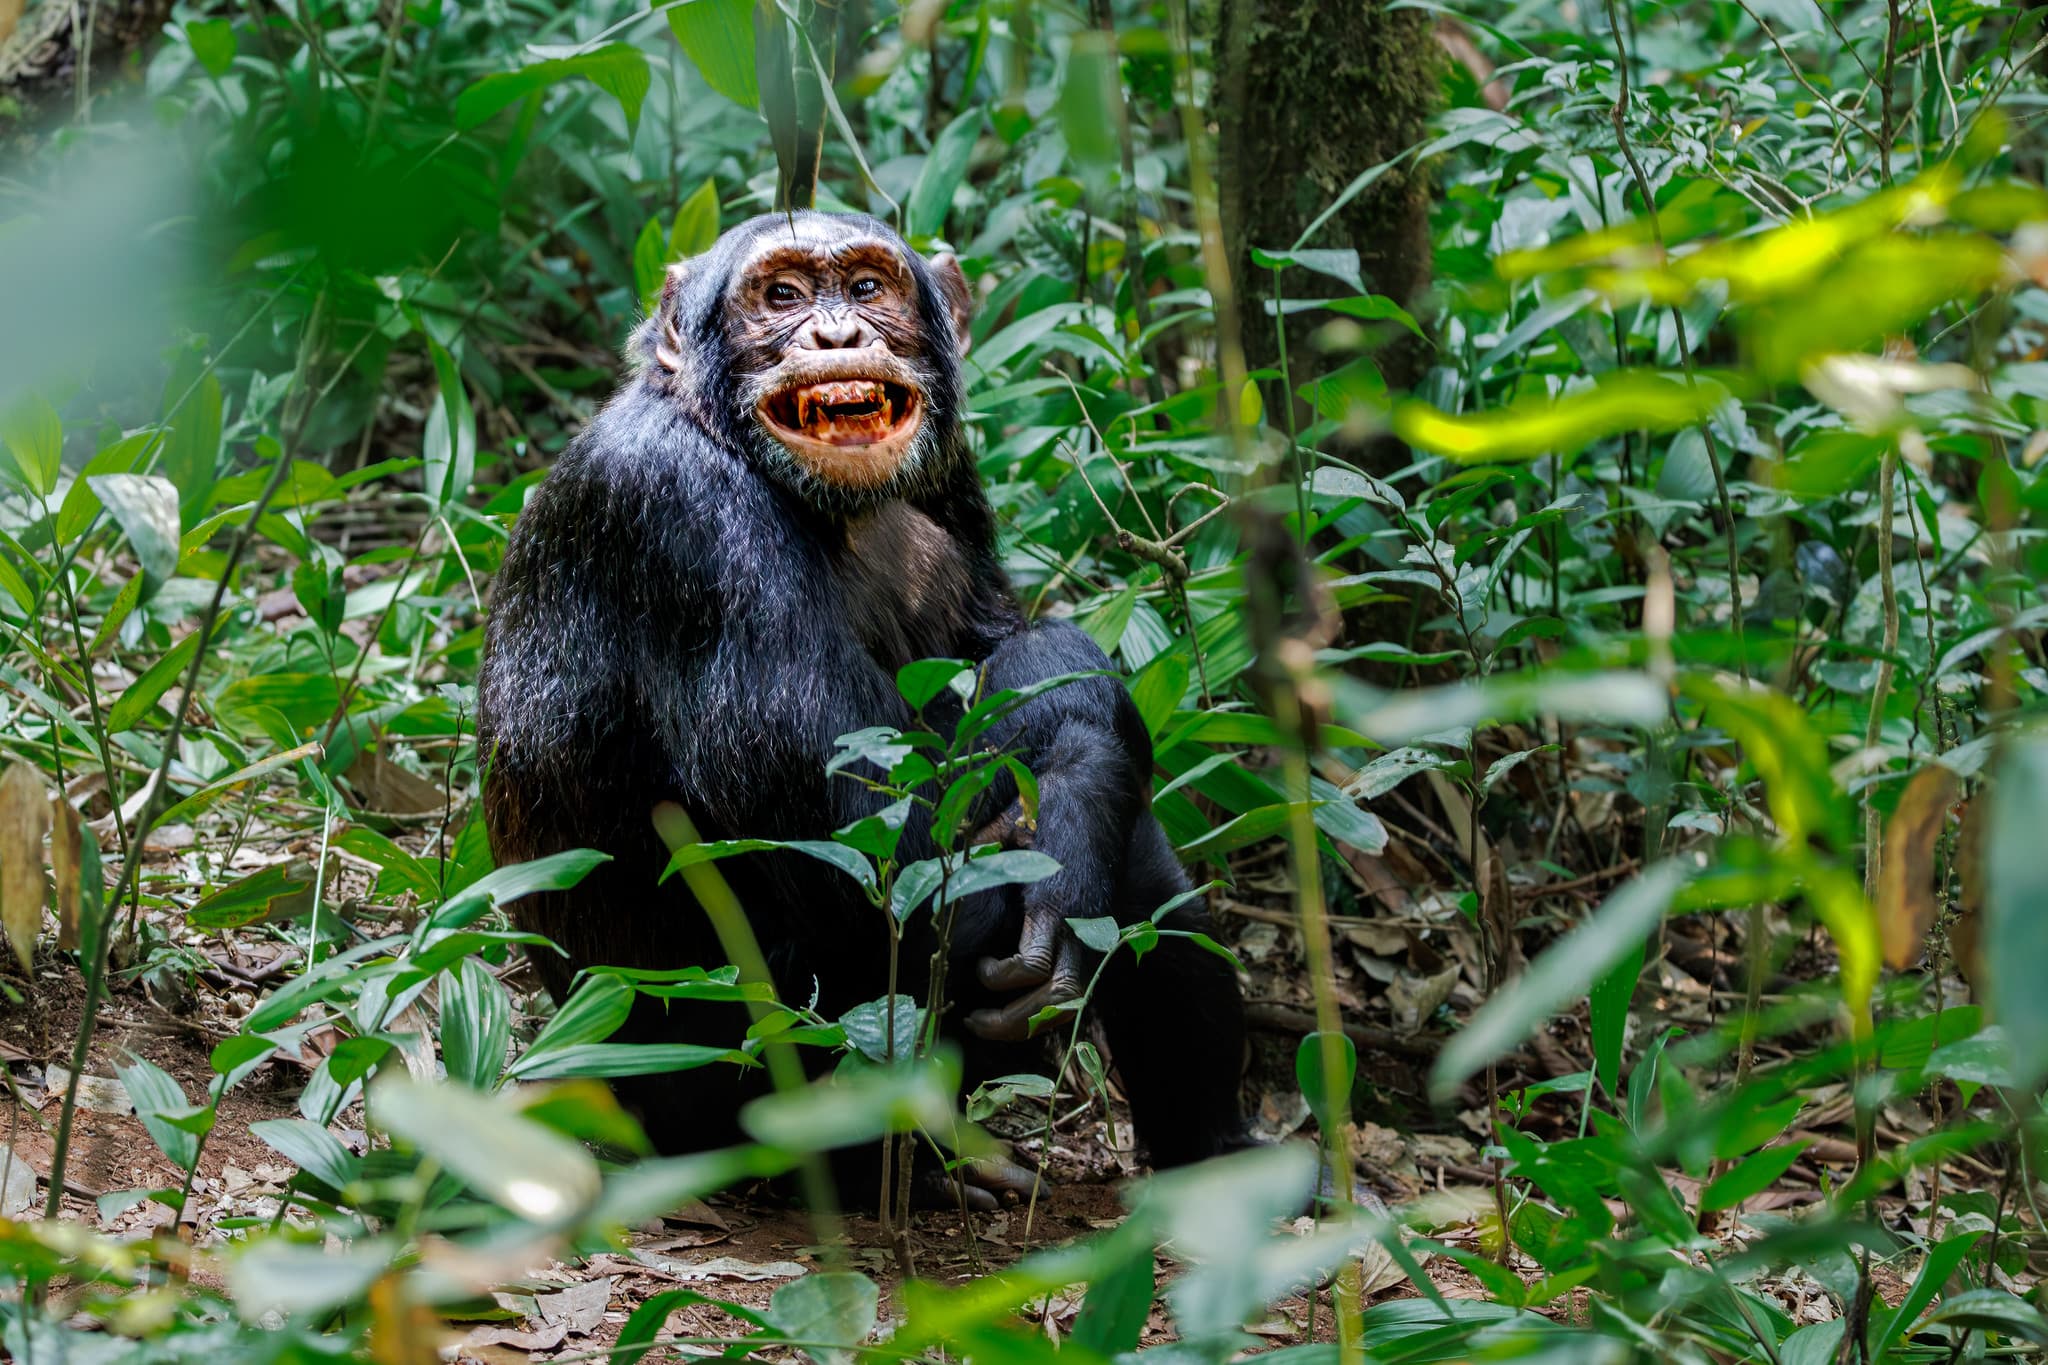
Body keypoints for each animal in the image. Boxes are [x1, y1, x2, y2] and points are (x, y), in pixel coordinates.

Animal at [476, 211, 1251, 1207]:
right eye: (781, 296)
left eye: (869, 287)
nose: (836, 332)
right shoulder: (687, 519)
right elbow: (872, 838)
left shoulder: (952, 474)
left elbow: (1000, 651)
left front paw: (1075, 792)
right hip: (755, 1093)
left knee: (1139, 856)